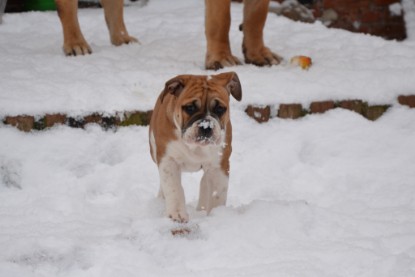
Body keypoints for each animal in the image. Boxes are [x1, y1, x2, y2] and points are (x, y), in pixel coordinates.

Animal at [150, 71, 242, 222]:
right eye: (190, 108)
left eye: (220, 109)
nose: (206, 126)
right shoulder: (168, 160)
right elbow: (174, 188)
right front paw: (177, 213)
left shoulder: (219, 165)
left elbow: (217, 194)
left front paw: (217, 215)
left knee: (205, 182)